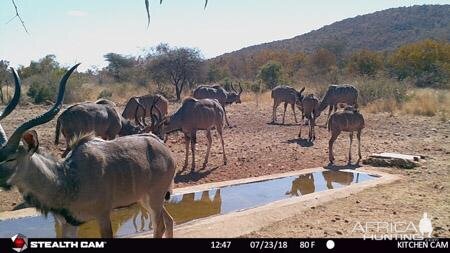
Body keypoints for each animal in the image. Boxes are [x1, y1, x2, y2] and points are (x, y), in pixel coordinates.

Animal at [0, 64, 176, 238]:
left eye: (11, 158)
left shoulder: (102, 215)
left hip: (154, 199)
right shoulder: (69, 223)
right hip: (146, 199)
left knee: (160, 226)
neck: (68, 178)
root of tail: (166, 151)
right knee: (169, 220)